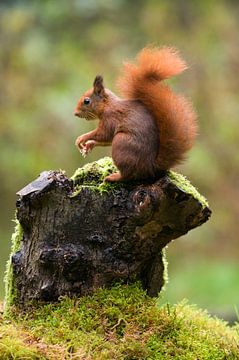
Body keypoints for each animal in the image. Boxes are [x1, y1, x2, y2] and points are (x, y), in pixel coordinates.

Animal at [74, 47, 198, 183]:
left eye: (87, 101)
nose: (75, 113)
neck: (107, 106)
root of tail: (150, 168)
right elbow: (106, 139)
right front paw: (89, 145)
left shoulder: (110, 119)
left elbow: (104, 134)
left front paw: (82, 138)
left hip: (121, 143)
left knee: (128, 175)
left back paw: (114, 177)